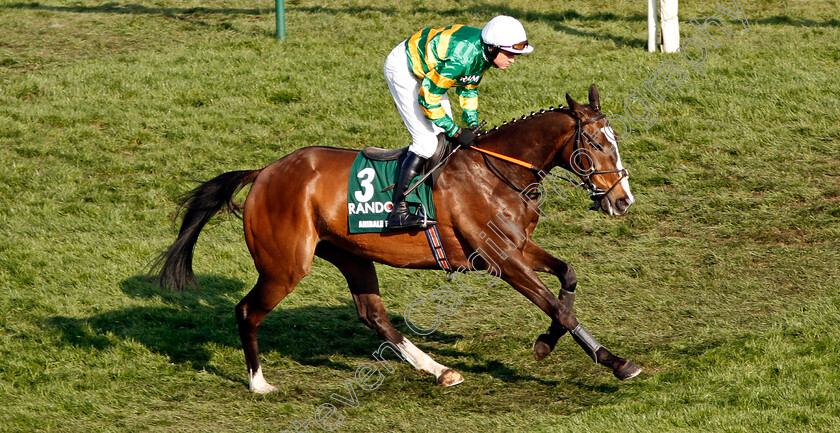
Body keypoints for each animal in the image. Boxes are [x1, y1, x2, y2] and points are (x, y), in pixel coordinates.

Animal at [158, 83, 640, 392]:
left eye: (613, 139)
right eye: (597, 144)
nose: (622, 200)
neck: (498, 172)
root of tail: (263, 173)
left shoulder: (517, 248)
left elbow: (568, 279)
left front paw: (545, 343)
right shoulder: (500, 257)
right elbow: (556, 304)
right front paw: (615, 362)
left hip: (351, 254)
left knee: (374, 315)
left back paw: (440, 370)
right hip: (285, 267)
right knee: (247, 310)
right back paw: (258, 383)